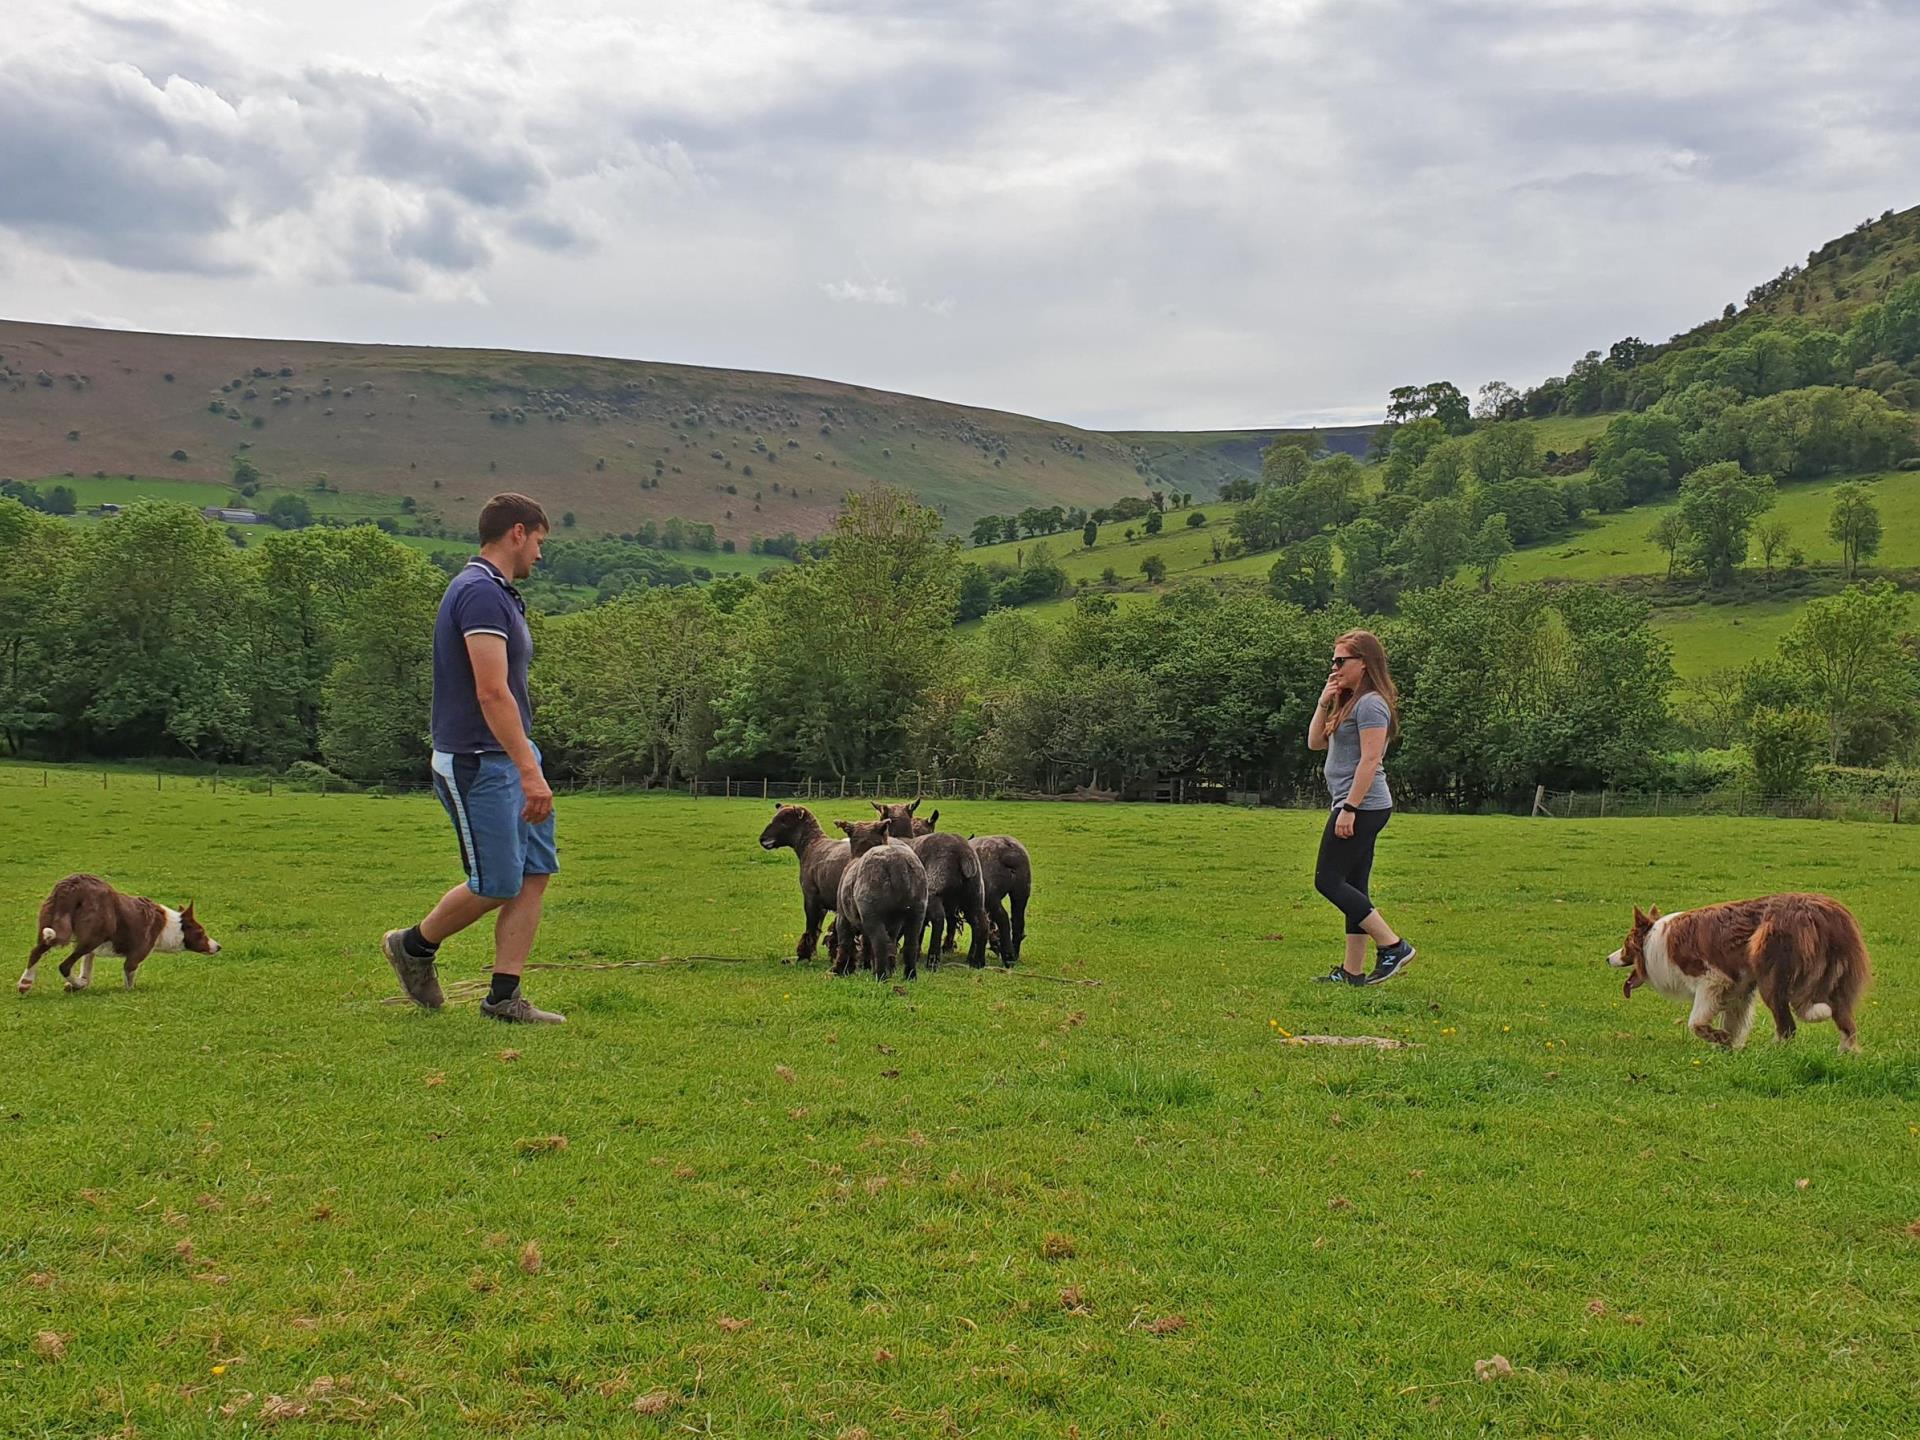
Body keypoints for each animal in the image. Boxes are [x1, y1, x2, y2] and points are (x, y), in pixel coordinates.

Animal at [760, 806, 852, 963]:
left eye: (784, 821)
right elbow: (817, 929)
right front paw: (812, 954)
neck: (811, 844)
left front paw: (806, 955)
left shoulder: (810, 897)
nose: (762, 839)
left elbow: (811, 927)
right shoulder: (822, 904)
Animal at [833, 821, 929, 983]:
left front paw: (838, 971)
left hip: (872, 913)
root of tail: (898, 864)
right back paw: (909, 976)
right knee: (909, 945)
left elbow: (845, 943)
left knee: (880, 944)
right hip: (917, 911)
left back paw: (881, 976)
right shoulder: (893, 925)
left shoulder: (843, 916)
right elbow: (870, 944)